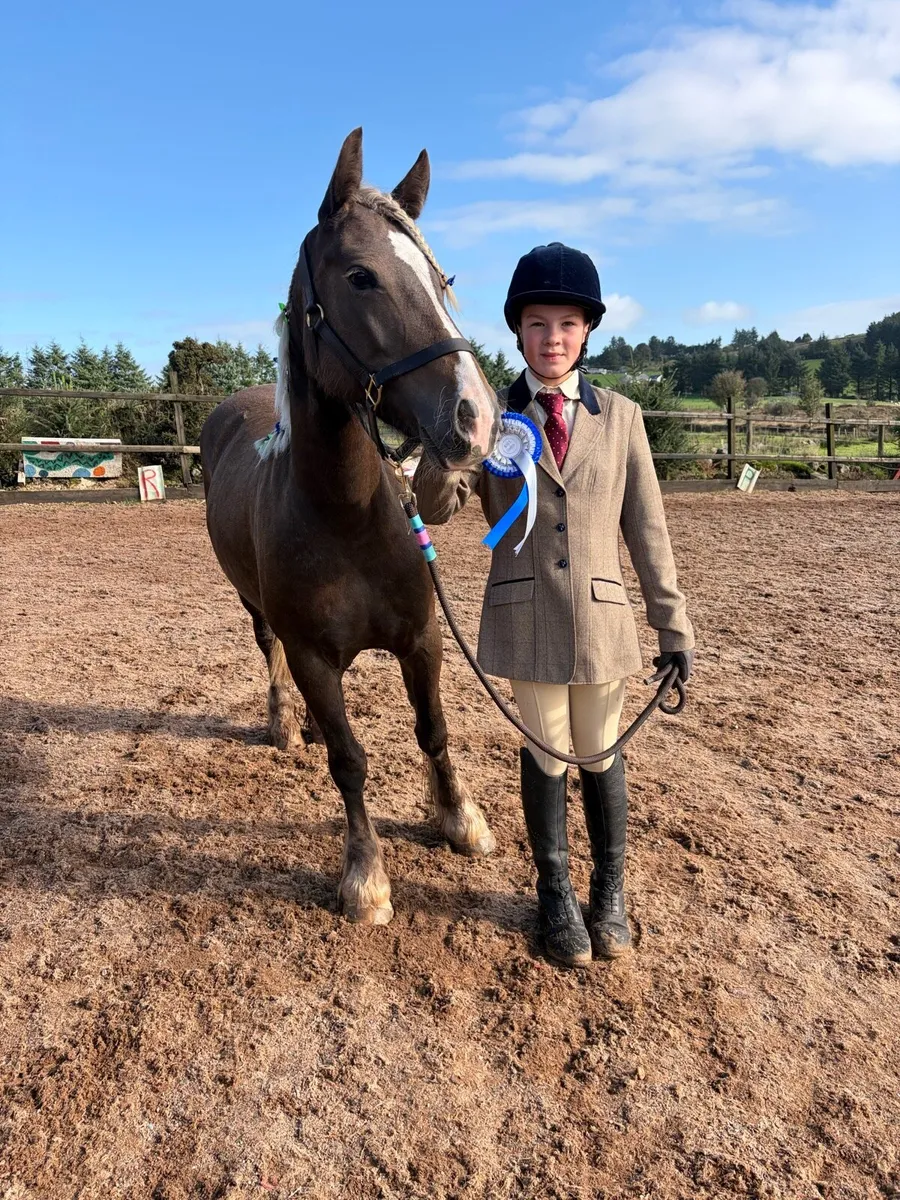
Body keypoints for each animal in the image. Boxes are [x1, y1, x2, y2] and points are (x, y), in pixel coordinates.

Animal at [201, 129, 501, 926]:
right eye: (361, 277)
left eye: (443, 279)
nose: (476, 416)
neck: (347, 518)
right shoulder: (314, 659)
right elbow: (349, 759)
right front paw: (365, 876)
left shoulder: (422, 639)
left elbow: (433, 729)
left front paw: (460, 820)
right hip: (253, 606)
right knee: (267, 651)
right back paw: (284, 723)